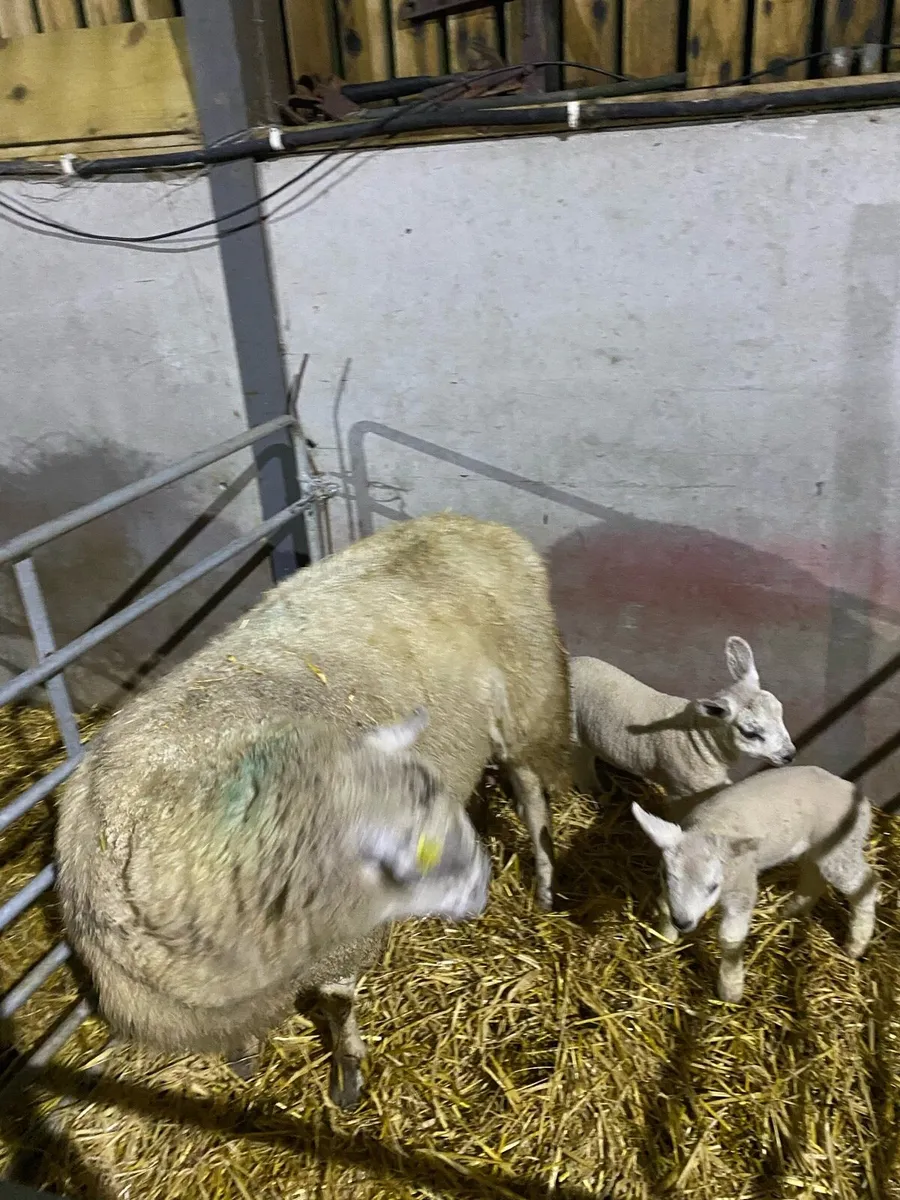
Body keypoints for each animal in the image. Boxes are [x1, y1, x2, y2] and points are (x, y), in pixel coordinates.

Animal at [55, 511, 571, 1108]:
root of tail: (469, 523)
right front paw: (245, 1061)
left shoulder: (340, 944)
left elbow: (338, 1003)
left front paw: (347, 1075)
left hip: (529, 695)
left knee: (531, 792)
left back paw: (546, 882)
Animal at [570, 636, 795, 802]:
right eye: (750, 733)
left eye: (780, 711)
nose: (790, 755)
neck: (700, 740)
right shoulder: (681, 792)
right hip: (574, 737)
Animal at [631, 765, 878, 1002]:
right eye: (665, 875)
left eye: (713, 887)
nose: (682, 922)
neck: (709, 828)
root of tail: (855, 792)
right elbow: (664, 906)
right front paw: (662, 941)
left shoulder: (742, 882)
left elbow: (731, 938)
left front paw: (730, 990)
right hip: (818, 849)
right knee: (814, 876)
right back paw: (793, 910)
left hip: (841, 849)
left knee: (867, 884)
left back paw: (856, 945)